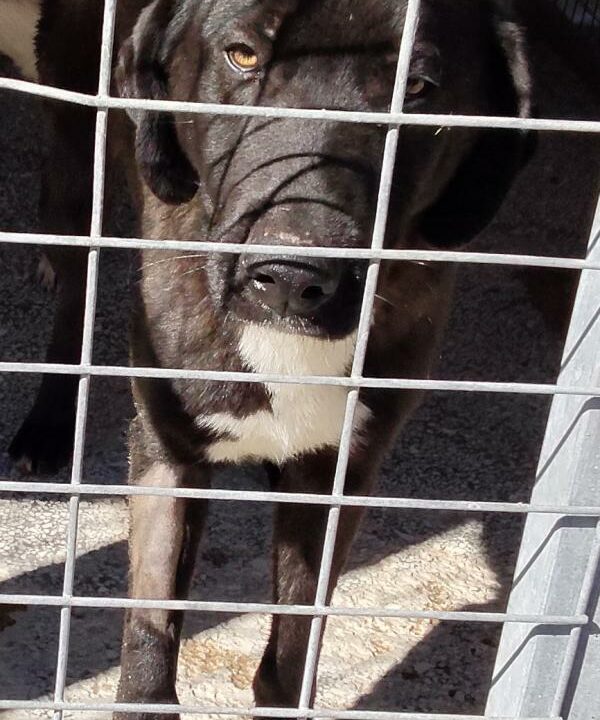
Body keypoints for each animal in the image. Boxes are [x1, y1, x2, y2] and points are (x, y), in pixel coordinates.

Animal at [1, 0, 532, 717]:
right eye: (243, 56)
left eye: (417, 88)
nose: (290, 277)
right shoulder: (166, 453)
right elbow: (149, 632)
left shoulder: (342, 474)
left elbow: (294, 643)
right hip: (75, 159)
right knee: (74, 281)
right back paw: (50, 422)